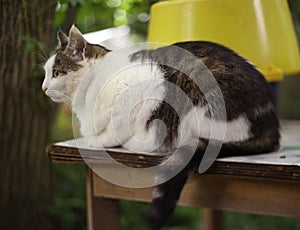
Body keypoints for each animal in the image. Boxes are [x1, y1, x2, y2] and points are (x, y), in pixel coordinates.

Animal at [42, 26, 282, 229]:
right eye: (46, 73)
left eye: (56, 73)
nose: (43, 87)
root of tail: (270, 124)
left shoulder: (146, 85)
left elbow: (117, 126)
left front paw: (104, 138)